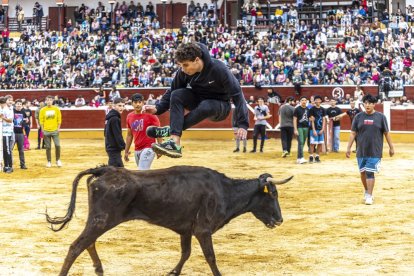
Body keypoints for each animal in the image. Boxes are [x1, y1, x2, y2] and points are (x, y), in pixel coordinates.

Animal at [47, 165, 292, 274]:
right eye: (273, 194)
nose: (280, 220)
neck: (225, 190)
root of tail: (105, 170)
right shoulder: (203, 230)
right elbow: (210, 257)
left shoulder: (186, 230)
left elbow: (186, 252)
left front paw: (174, 271)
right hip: (102, 220)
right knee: (76, 246)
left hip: (99, 220)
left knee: (88, 243)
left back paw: (99, 268)